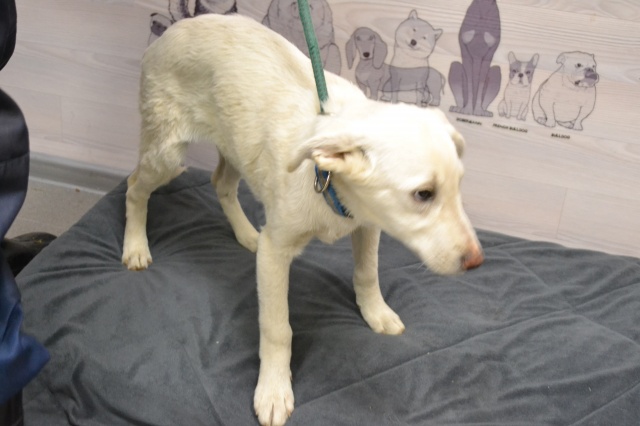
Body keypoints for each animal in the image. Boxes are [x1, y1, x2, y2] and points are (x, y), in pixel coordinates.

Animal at [122, 14, 483, 426]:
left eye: (458, 186)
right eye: (423, 194)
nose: (476, 261)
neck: (328, 184)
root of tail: (174, 27)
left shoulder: (368, 224)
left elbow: (367, 273)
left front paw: (376, 313)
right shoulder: (276, 253)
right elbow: (278, 328)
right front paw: (274, 390)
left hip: (234, 144)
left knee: (221, 184)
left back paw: (247, 234)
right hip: (167, 154)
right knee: (134, 186)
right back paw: (135, 246)